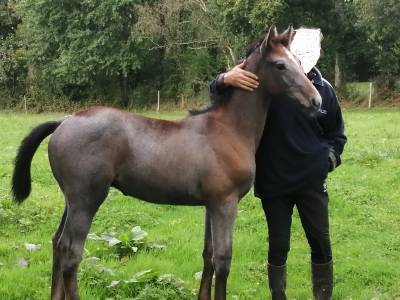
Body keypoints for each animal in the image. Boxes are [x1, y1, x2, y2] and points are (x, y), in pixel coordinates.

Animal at [10, 27, 322, 298]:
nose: (316, 101)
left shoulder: (211, 204)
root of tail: (64, 121)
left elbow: (208, 255)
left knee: (57, 244)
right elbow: (223, 260)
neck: (229, 130)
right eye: (280, 65)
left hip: (72, 200)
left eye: (298, 61)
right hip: (87, 199)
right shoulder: (226, 203)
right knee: (71, 252)